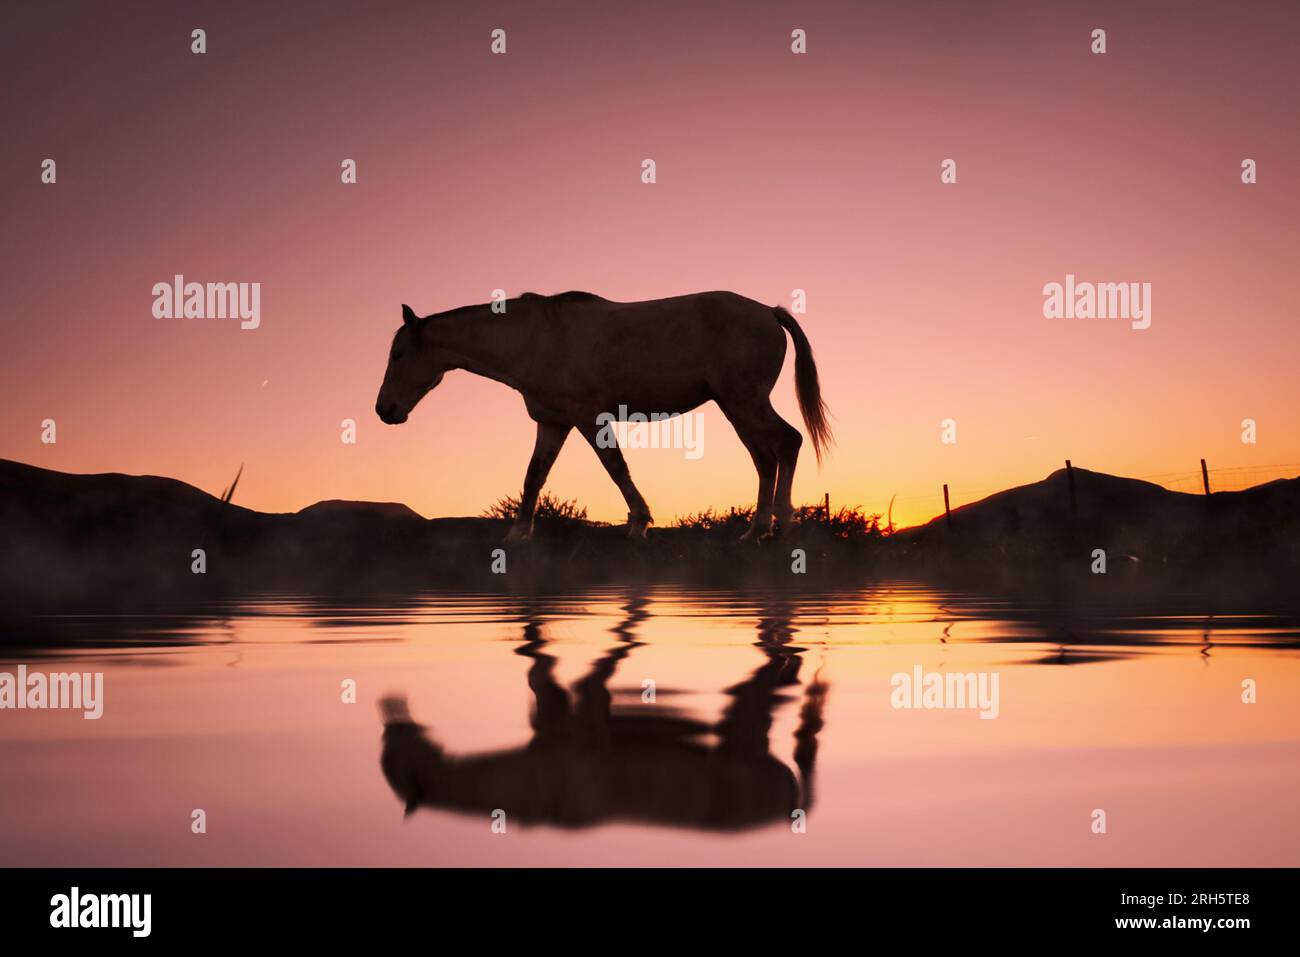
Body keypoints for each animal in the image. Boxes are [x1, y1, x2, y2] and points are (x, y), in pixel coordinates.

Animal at [374, 287, 832, 540]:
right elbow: (534, 476)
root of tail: (768, 312)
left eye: (398, 354)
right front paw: (519, 533)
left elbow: (616, 467)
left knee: (786, 443)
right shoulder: (553, 422)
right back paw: (756, 529)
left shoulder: (588, 418)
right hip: (736, 407)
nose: (384, 410)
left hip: (744, 402)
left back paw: (782, 524)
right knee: (764, 458)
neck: (535, 339)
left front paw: (639, 523)